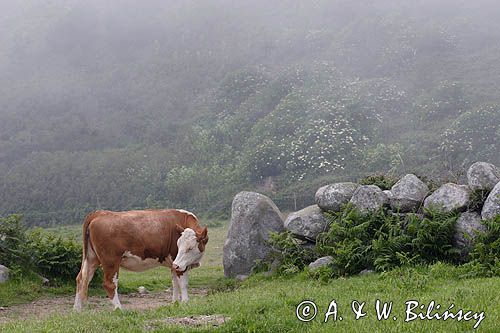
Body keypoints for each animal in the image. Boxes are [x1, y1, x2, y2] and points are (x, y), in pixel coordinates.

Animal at [73, 209, 208, 310]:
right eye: (179, 245)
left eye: (190, 248)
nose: (176, 264)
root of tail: (99, 213)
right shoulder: (180, 264)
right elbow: (183, 284)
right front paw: (185, 303)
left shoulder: (174, 264)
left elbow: (175, 283)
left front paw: (175, 303)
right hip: (110, 261)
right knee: (109, 284)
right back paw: (119, 309)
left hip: (91, 259)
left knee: (82, 279)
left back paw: (77, 310)